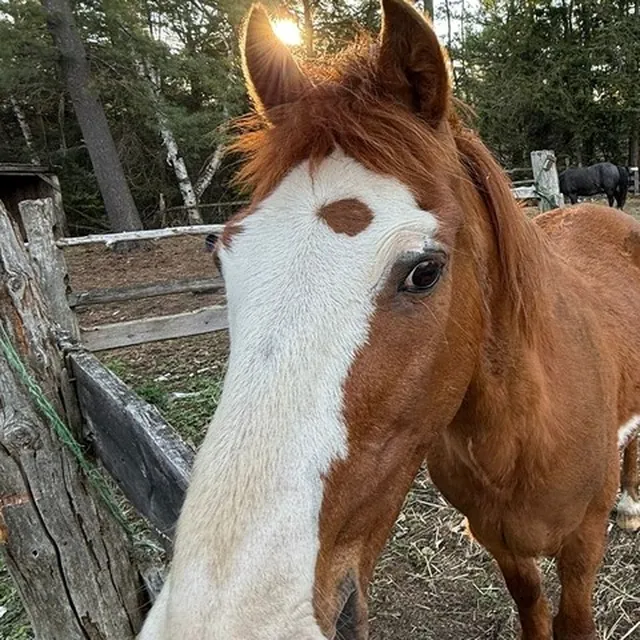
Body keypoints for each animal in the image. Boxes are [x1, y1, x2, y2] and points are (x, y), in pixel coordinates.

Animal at [139, 2, 640, 639]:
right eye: (223, 255)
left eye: (424, 272)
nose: (231, 620)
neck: (527, 433)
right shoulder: (500, 543)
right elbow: (531, 604)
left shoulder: (582, 547)